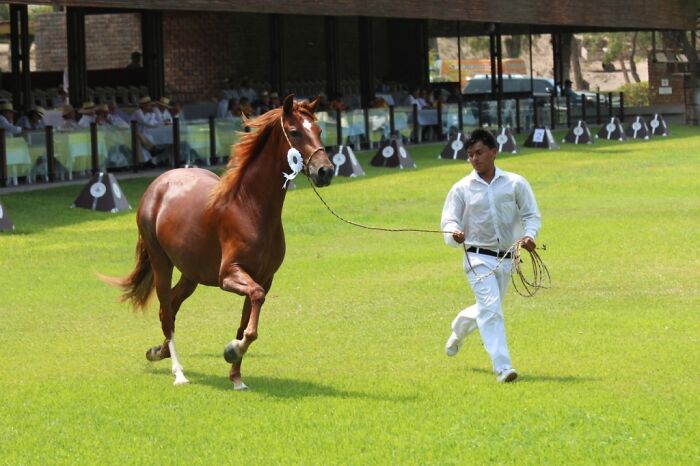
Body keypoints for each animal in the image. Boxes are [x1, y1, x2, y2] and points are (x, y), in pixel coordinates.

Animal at [108, 95, 334, 390]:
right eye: (295, 132)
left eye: (318, 130)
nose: (325, 171)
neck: (249, 208)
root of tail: (159, 184)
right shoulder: (229, 275)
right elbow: (254, 305)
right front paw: (232, 350)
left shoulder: (264, 277)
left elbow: (246, 322)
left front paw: (236, 375)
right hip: (161, 264)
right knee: (166, 313)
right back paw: (178, 372)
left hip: (191, 274)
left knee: (171, 307)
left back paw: (158, 352)